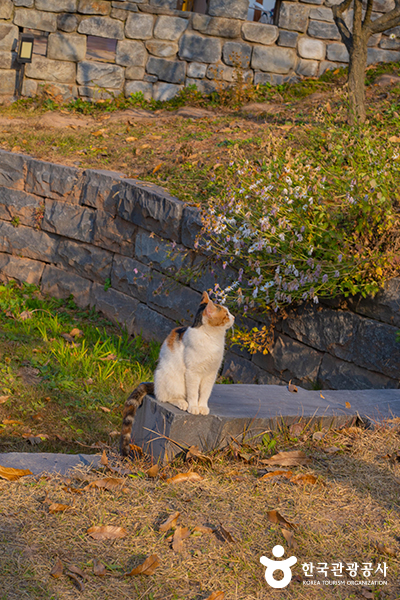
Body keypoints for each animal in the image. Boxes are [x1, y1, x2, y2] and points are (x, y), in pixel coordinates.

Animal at [119, 290, 234, 454]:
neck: (212, 339)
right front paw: (194, 407)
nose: (234, 317)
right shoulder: (193, 373)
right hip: (170, 378)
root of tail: (155, 384)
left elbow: (205, 393)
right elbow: (193, 393)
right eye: (226, 314)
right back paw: (182, 403)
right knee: (164, 397)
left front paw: (203, 407)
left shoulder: (210, 374)